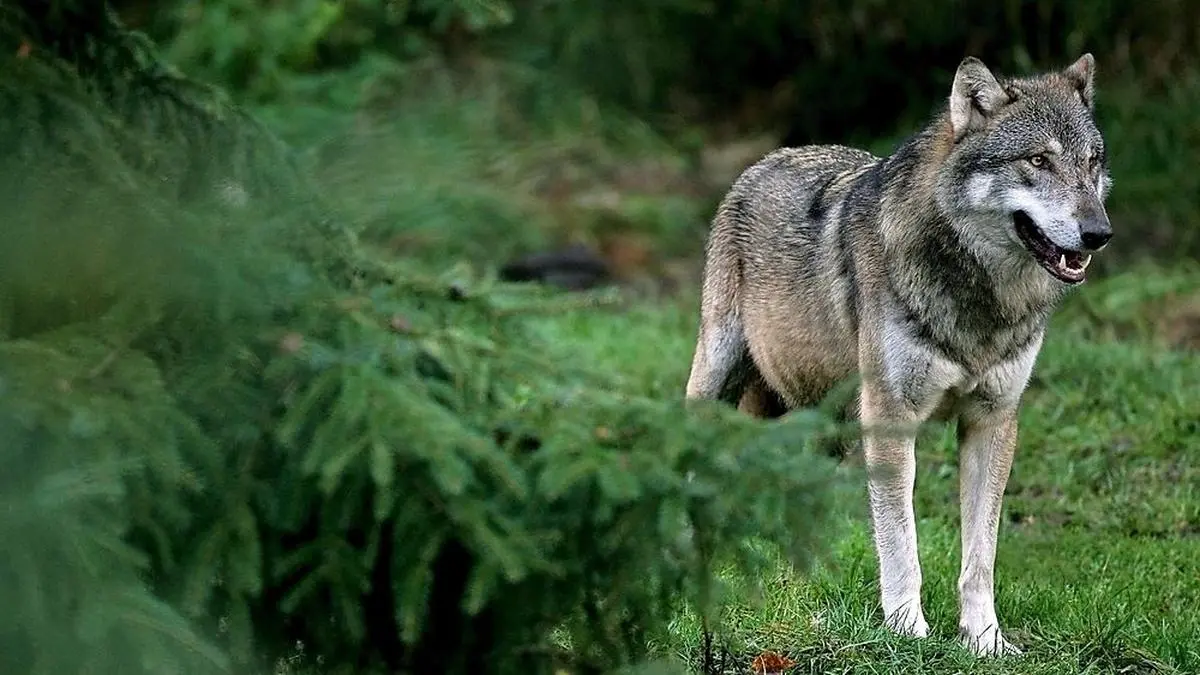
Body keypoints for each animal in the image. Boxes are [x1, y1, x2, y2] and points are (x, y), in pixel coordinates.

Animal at [684, 54, 1112, 656]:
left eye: (1092, 163)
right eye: (1038, 160)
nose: (1100, 233)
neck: (978, 299)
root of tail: (770, 157)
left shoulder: (992, 422)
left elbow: (980, 555)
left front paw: (984, 640)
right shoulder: (890, 420)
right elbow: (900, 542)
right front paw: (907, 631)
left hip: (826, 429)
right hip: (719, 381)